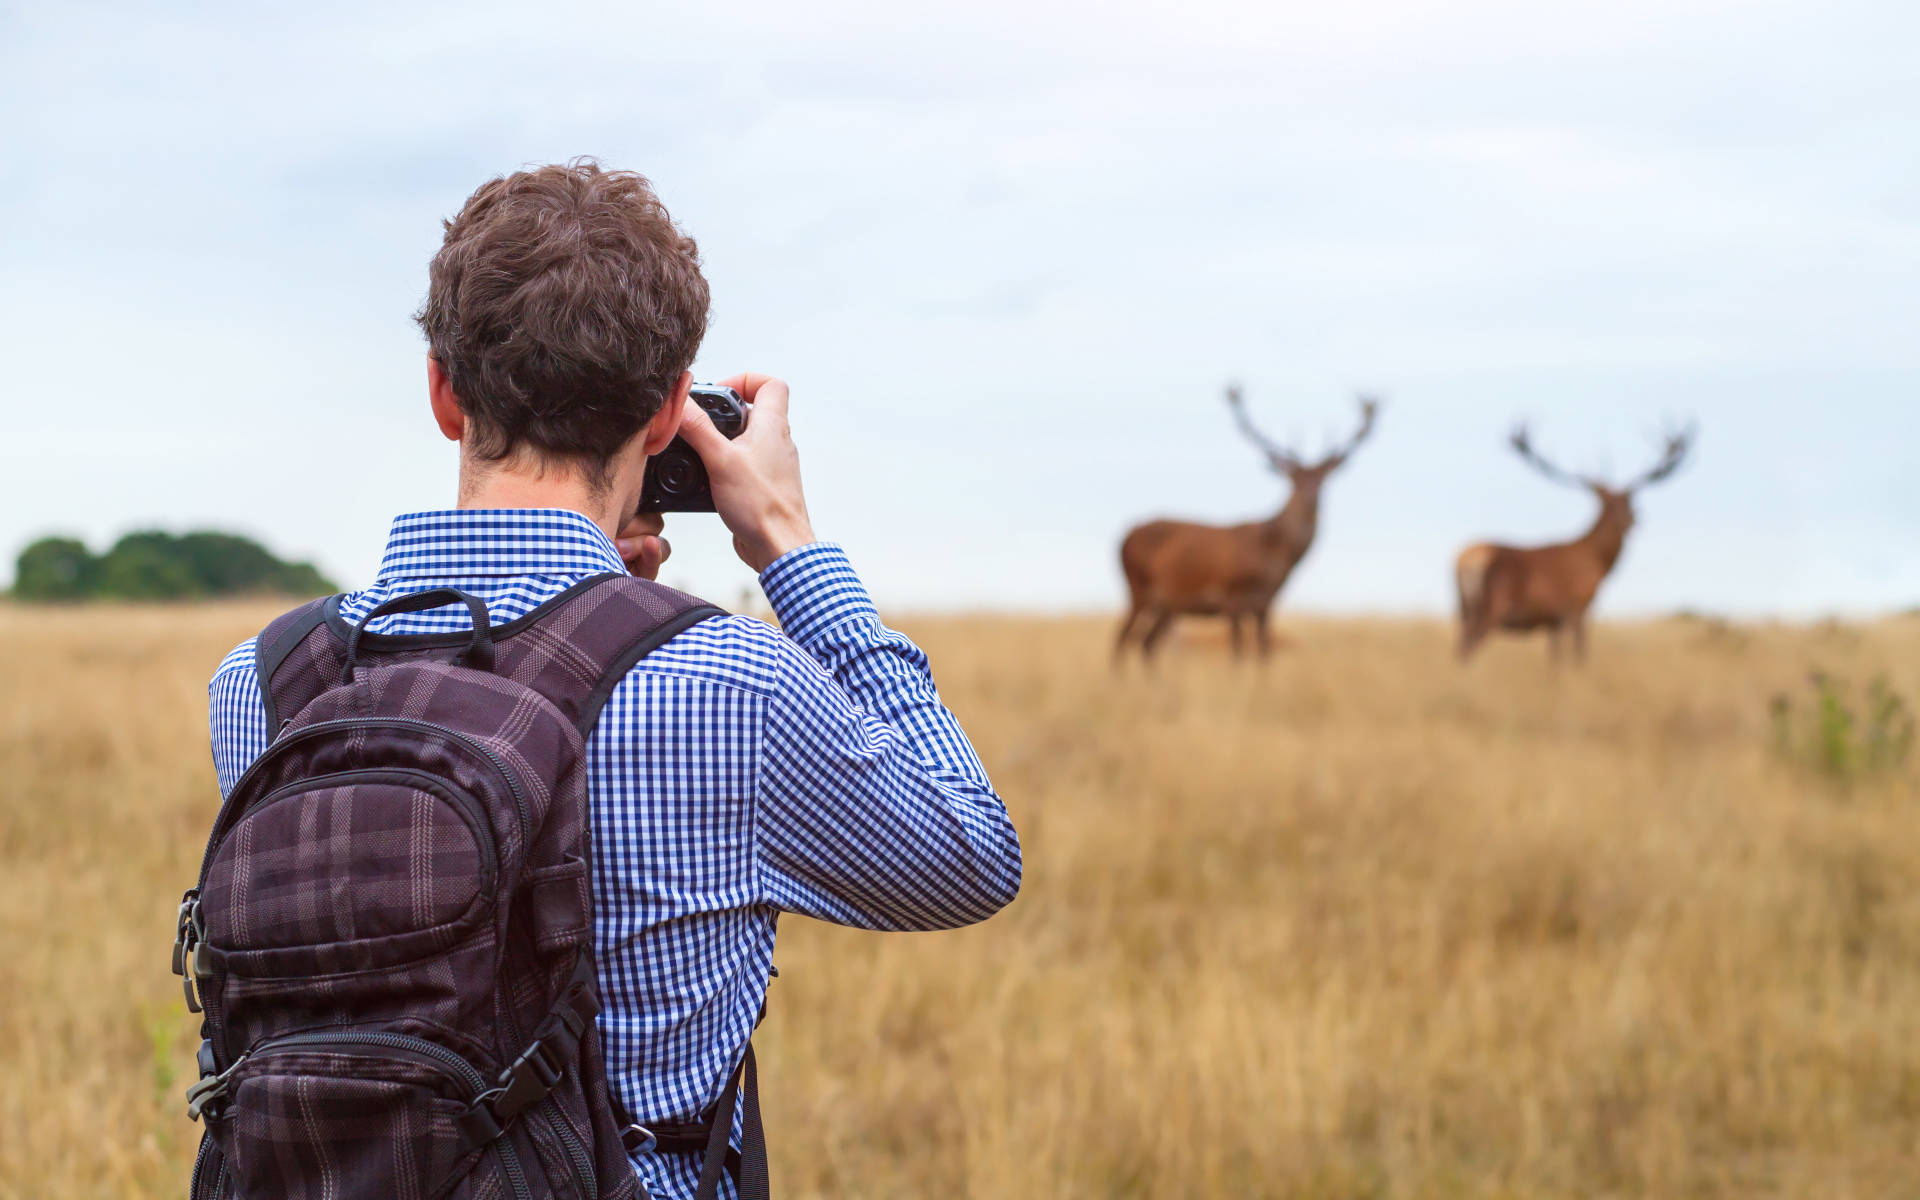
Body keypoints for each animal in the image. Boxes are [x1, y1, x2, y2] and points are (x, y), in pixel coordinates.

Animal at [1113, 387, 1382, 660]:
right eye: (1294, 479)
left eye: (1323, 478)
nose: (1311, 498)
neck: (1277, 554)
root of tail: (1124, 536)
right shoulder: (1231, 597)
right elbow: (1238, 651)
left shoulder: (1267, 603)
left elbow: (1264, 651)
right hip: (1139, 590)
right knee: (1122, 639)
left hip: (1167, 605)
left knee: (1146, 643)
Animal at [1451, 420, 1697, 664]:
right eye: (1620, 503)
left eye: (1627, 502)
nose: (1632, 523)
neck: (1597, 559)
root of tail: (1468, 559)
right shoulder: (1579, 606)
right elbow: (1580, 652)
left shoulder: (1554, 621)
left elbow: (1555, 658)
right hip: (1493, 609)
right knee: (1470, 645)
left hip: (1464, 608)